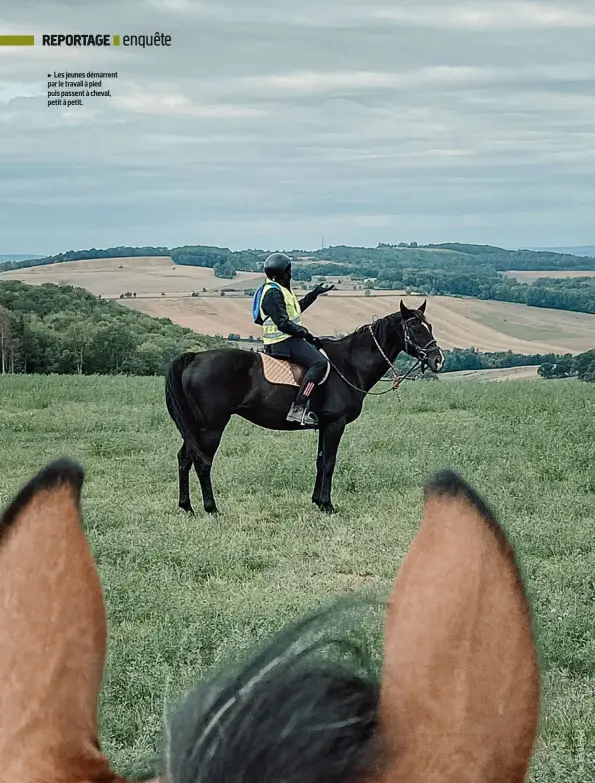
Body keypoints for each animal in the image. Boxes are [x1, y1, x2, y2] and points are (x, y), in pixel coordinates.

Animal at [165, 300, 444, 516]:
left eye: (429, 326)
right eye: (415, 328)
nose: (438, 359)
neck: (348, 364)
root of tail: (195, 357)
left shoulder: (324, 426)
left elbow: (320, 461)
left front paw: (317, 502)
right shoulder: (335, 424)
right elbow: (329, 462)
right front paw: (328, 505)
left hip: (195, 428)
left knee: (184, 458)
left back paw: (187, 506)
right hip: (211, 427)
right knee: (202, 462)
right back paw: (211, 508)